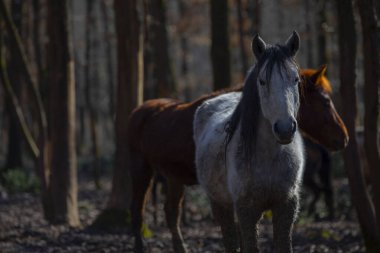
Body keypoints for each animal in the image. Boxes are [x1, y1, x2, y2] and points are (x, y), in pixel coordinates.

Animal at [129, 65, 348, 253]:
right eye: (326, 101)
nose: (343, 138)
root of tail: (140, 110)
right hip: (142, 170)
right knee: (138, 213)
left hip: (173, 179)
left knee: (171, 213)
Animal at [194, 32, 304, 253]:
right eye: (262, 81)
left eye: (295, 79)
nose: (285, 129)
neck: (269, 156)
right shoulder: (246, 210)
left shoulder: (286, 206)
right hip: (221, 205)